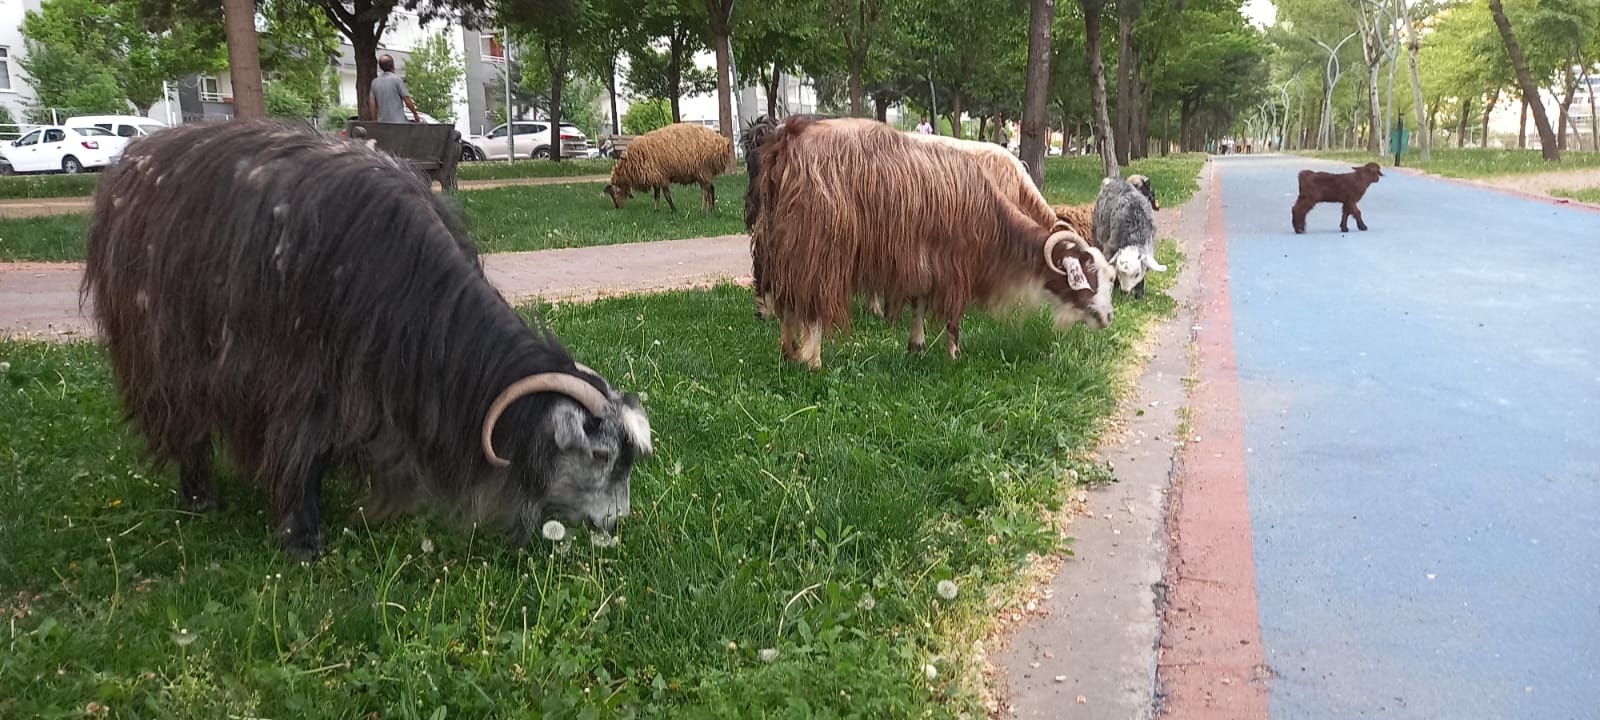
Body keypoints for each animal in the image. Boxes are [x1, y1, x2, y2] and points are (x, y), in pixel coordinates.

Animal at [79, 120, 656, 563]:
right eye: (601, 455)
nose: (618, 522)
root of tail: (137, 159)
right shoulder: (300, 380)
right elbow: (298, 450)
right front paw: (302, 537)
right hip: (162, 354)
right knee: (185, 423)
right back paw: (201, 496)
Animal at [601, 120, 732, 211]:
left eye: (614, 194)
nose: (617, 207)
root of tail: (723, 142)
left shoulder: (661, 176)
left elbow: (666, 195)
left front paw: (674, 210)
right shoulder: (656, 176)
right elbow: (657, 195)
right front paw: (657, 210)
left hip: (704, 169)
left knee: (709, 190)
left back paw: (706, 210)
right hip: (702, 172)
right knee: (708, 189)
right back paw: (709, 209)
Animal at [752, 116, 1113, 371]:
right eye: (1087, 274)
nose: (1108, 318)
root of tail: (786, 140)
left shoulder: (924, 257)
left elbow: (919, 303)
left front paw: (916, 346)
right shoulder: (956, 264)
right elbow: (952, 315)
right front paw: (954, 354)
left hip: (781, 241)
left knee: (785, 297)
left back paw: (788, 350)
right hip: (819, 245)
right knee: (810, 301)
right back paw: (812, 360)